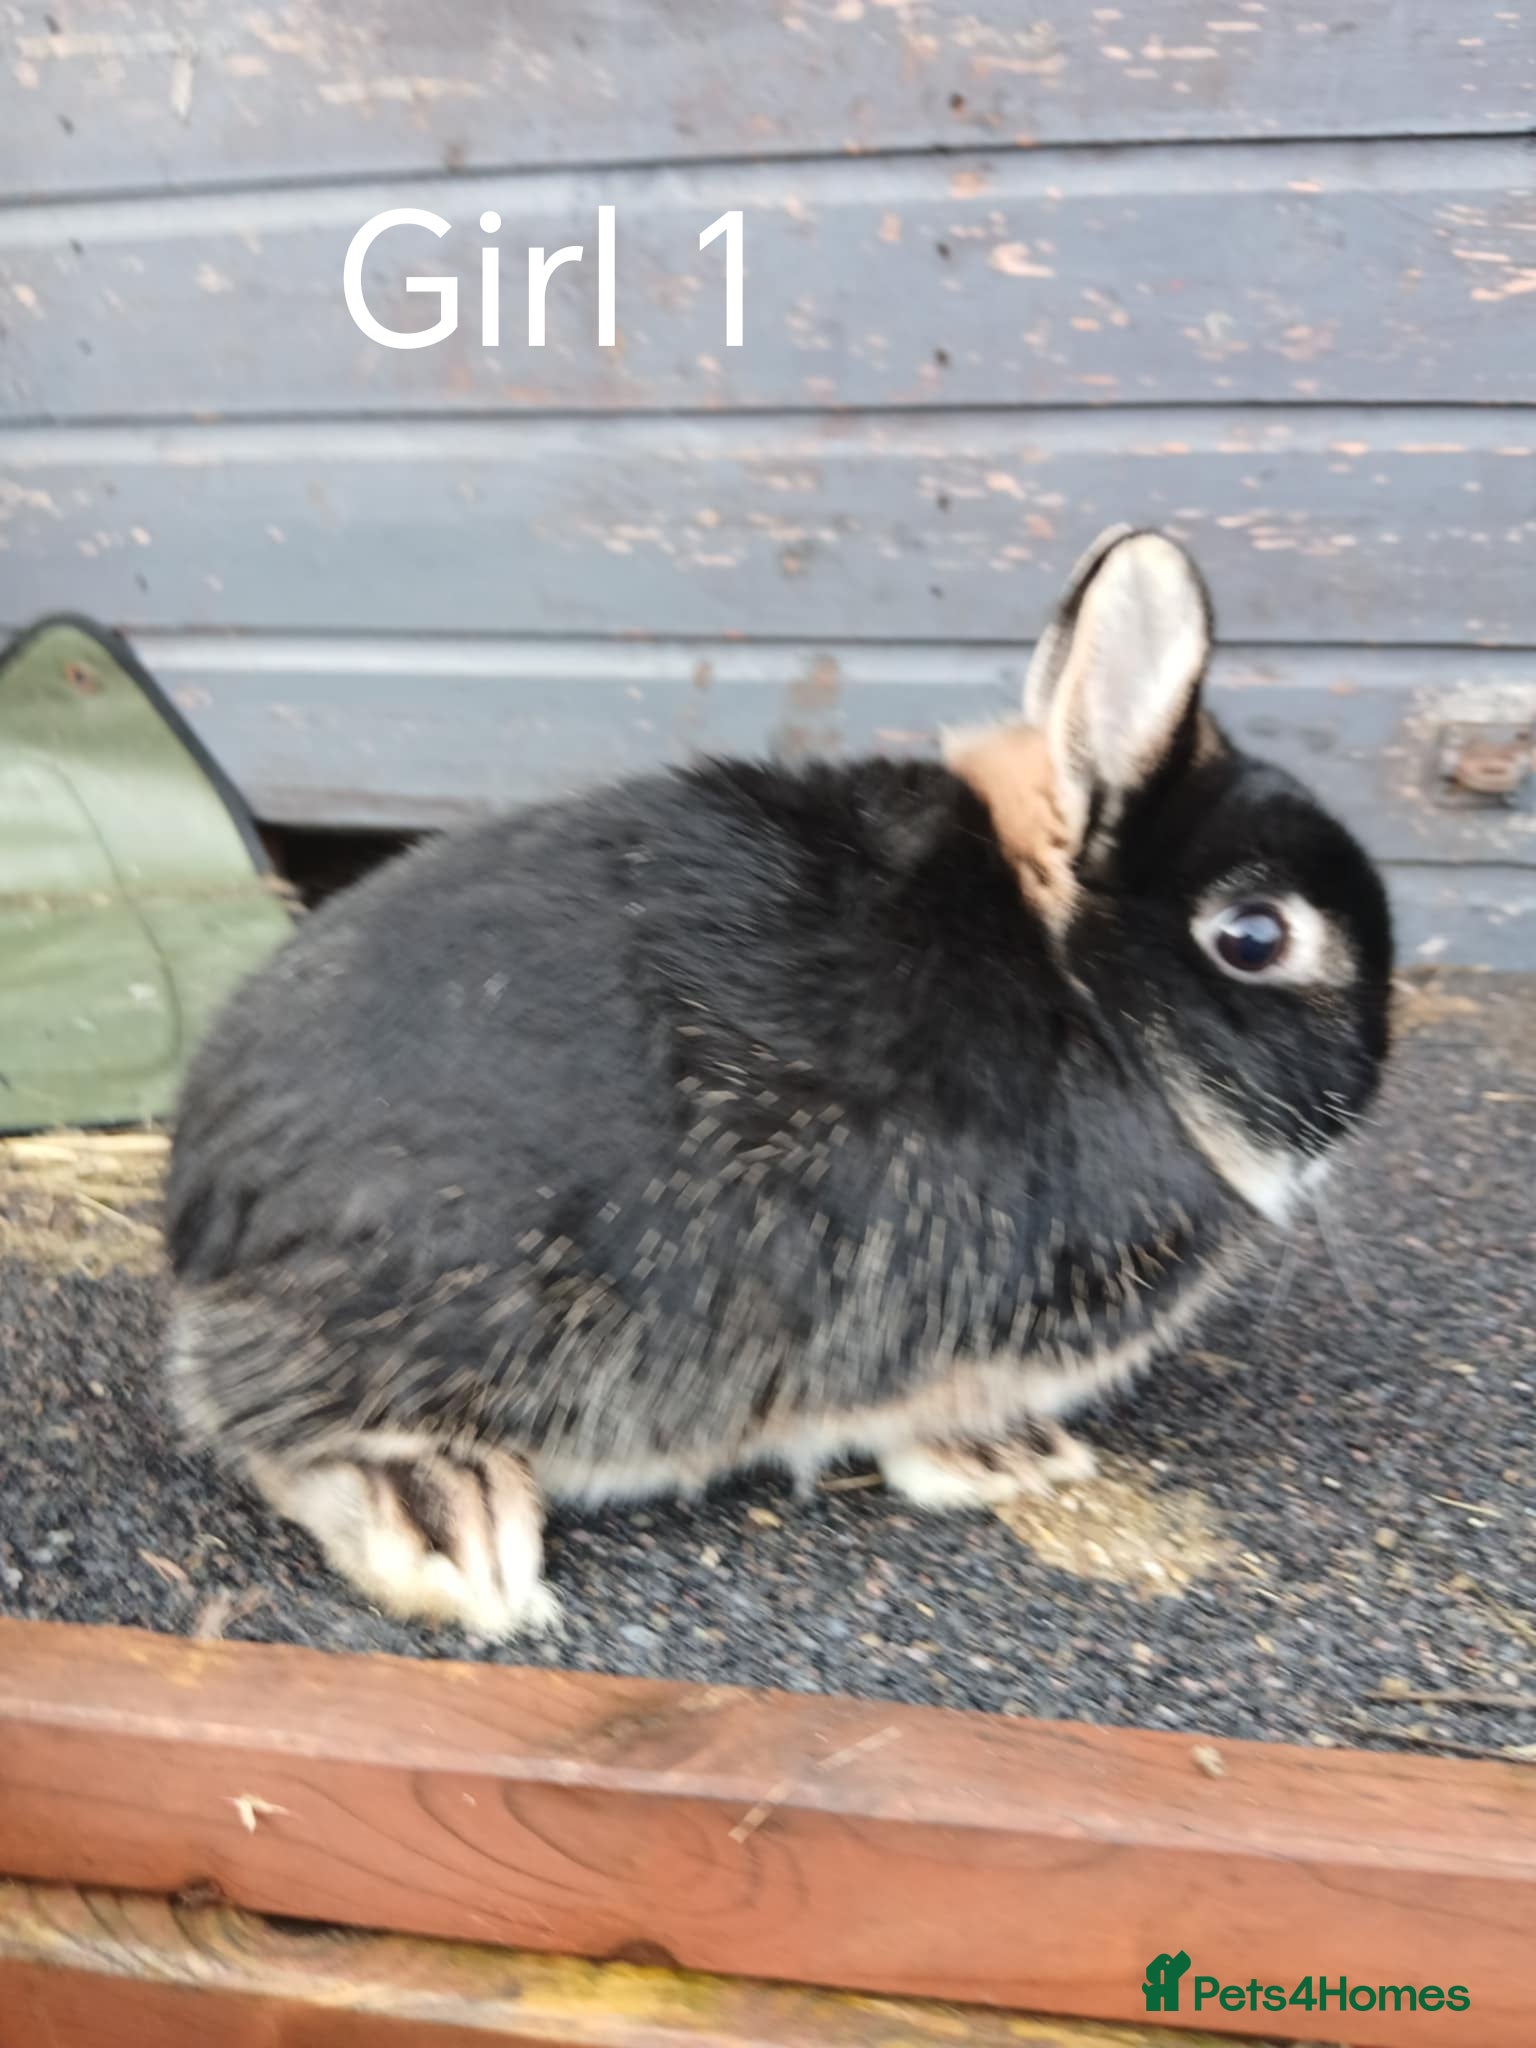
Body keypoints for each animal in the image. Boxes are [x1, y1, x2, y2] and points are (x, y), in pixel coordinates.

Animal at [165, 528, 1392, 1637]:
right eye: (1254, 936)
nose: (1371, 1075)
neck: (1082, 988)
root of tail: (201, 1222)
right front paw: (1012, 1460)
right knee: (281, 1438)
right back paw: (451, 1529)